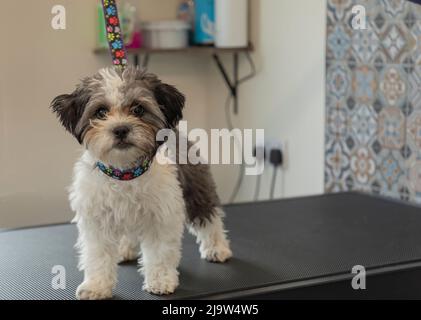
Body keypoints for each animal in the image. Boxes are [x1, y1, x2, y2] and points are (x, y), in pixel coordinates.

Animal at [51, 66, 233, 298]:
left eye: (138, 109)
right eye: (100, 112)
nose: (120, 129)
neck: (125, 173)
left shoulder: (161, 216)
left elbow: (159, 253)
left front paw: (160, 280)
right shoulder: (96, 219)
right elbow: (98, 255)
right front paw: (96, 286)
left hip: (196, 189)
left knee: (209, 217)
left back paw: (217, 247)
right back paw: (123, 249)